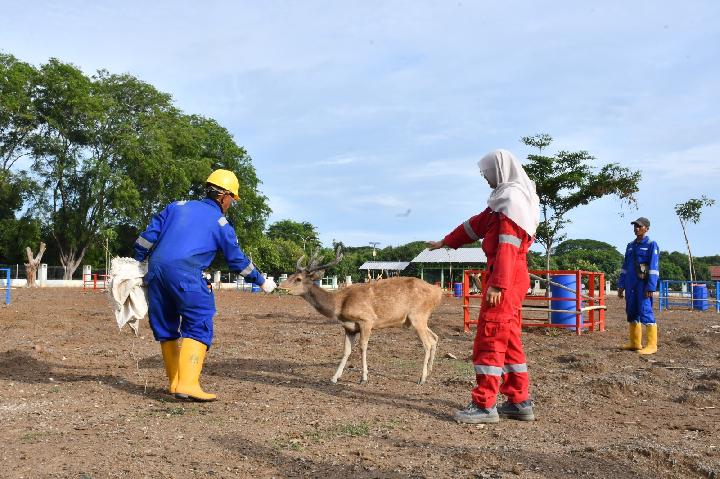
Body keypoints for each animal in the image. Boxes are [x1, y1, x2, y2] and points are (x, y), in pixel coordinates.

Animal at [278, 249, 442, 384]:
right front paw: (334, 377)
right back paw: (430, 372)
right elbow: (346, 351)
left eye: (298, 279)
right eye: (291, 275)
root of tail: (438, 293)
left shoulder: (366, 320)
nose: (280, 286)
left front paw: (363, 378)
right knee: (435, 337)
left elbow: (363, 347)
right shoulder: (349, 327)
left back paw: (422, 378)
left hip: (418, 315)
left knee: (427, 343)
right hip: (415, 320)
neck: (339, 305)